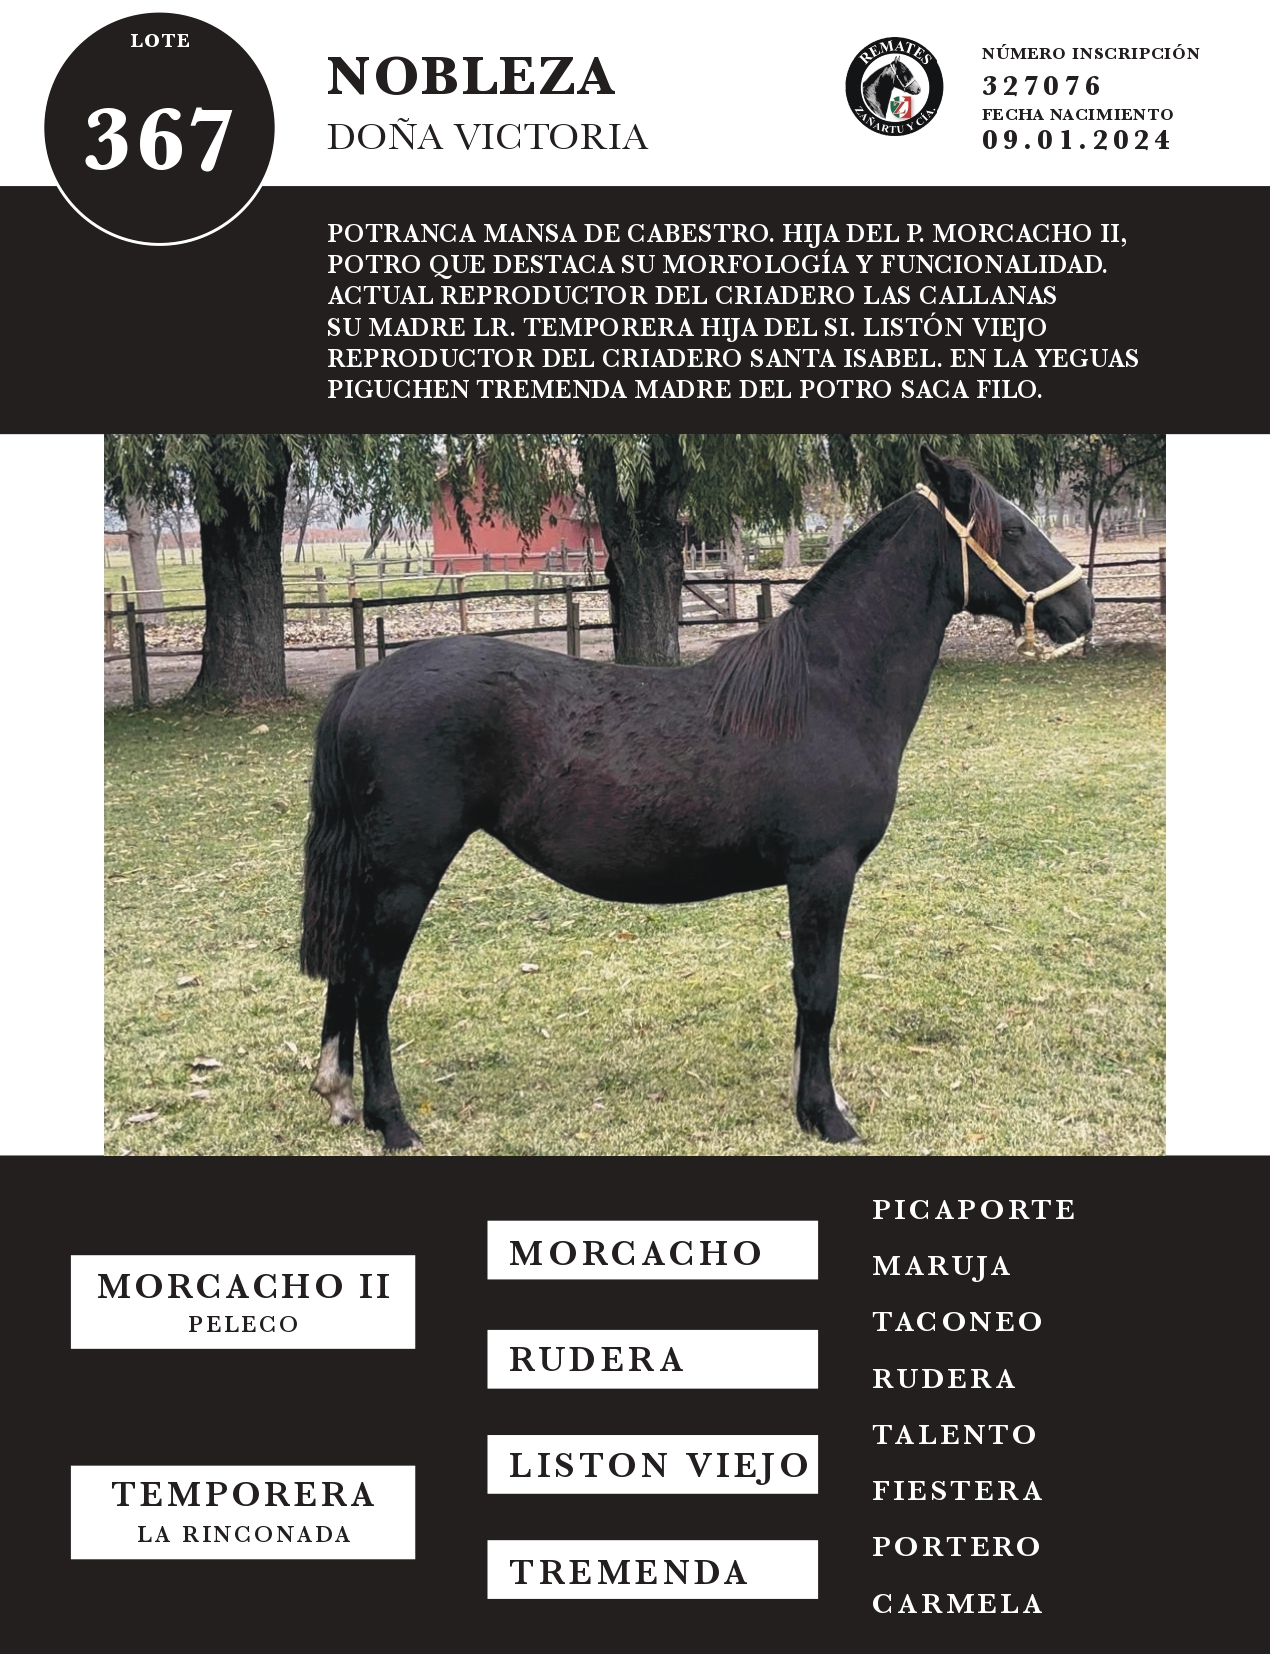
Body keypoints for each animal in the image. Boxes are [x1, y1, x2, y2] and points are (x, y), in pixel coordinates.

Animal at [300, 446, 1092, 1152]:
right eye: (1012, 529)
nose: (1082, 609)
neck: (825, 689)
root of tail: (362, 683)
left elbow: (806, 992)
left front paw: (812, 1104)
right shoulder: (822, 872)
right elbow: (819, 992)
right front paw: (826, 1116)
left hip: (375, 875)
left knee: (348, 969)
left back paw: (340, 1095)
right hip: (405, 875)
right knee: (374, 985)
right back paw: (392, 1123)